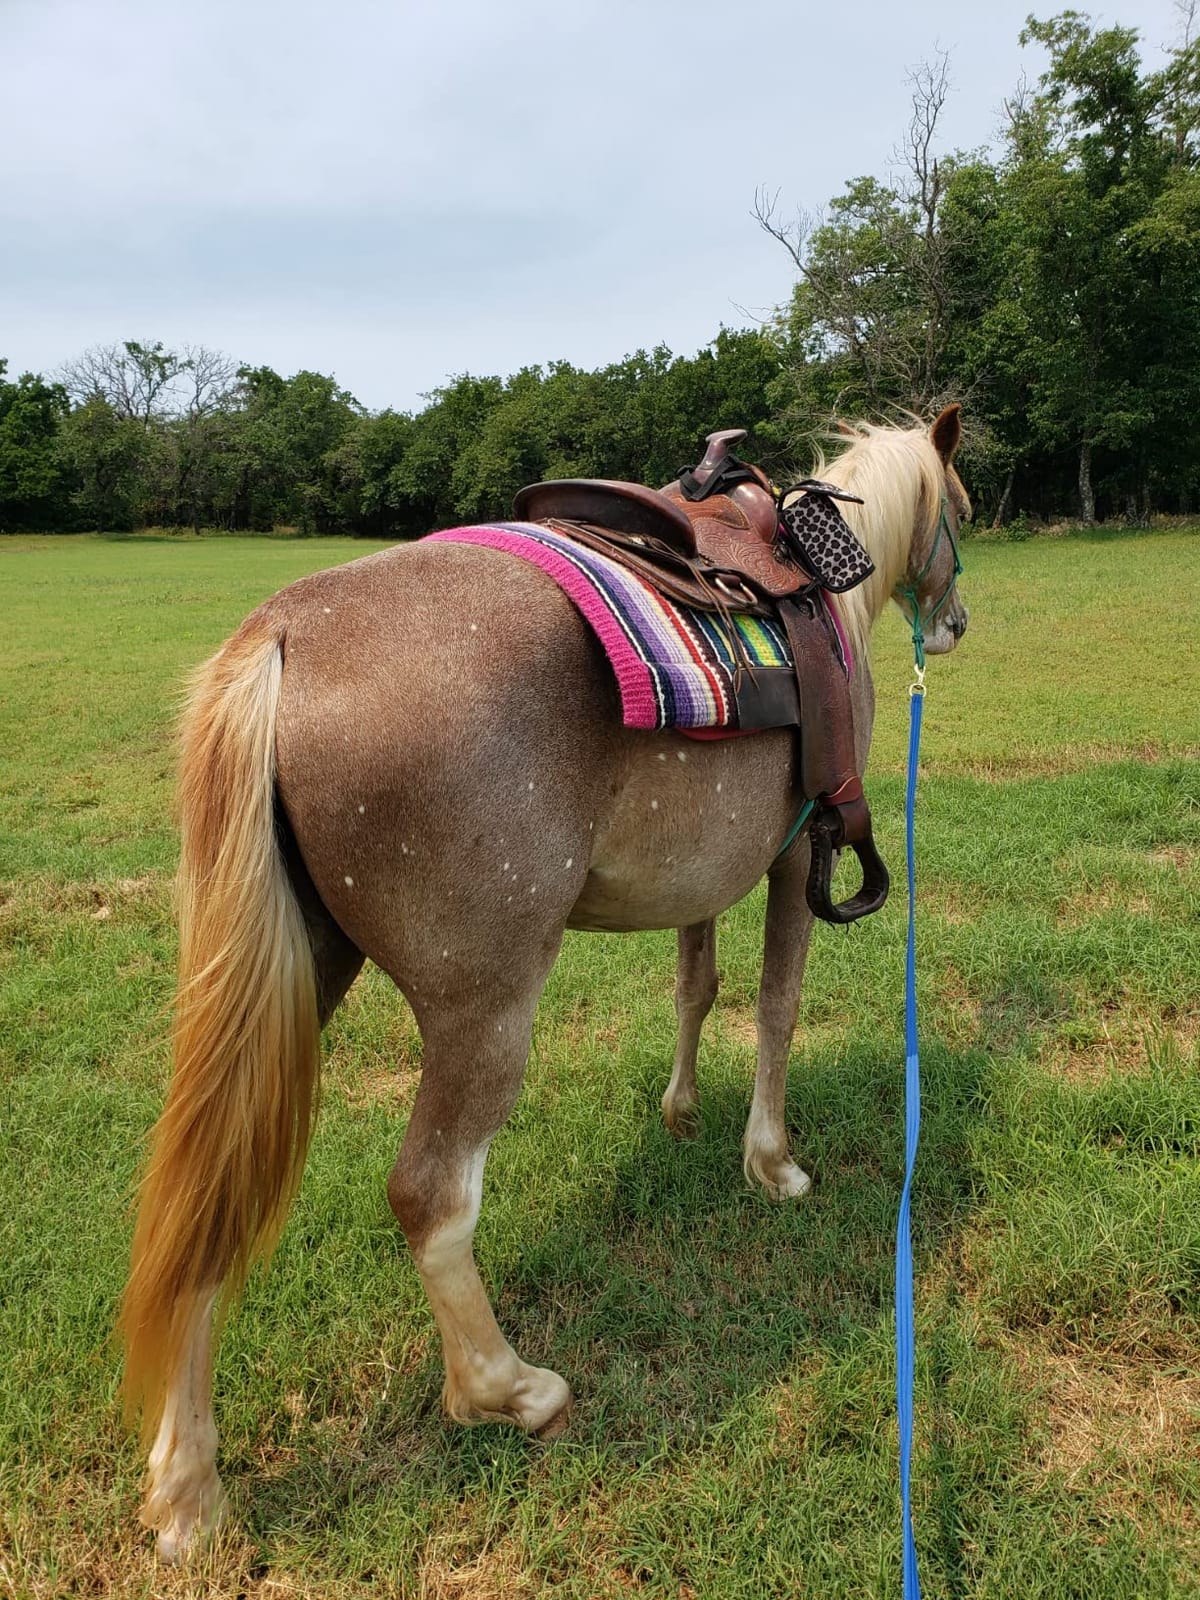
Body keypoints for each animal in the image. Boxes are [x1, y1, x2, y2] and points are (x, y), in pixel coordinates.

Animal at [117, 406, 970, 1560]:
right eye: (962, 509)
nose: (957, 618)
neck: (821, 580)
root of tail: (281, 635)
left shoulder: (701, 873)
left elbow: (696, 988)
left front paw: (682, 1111)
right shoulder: (803, 848)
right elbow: (777, 1007)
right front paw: (772, 1162)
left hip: (292, 979)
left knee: (213, 1203)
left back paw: (187, 1487)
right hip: (483, 1008)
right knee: (431, 1194)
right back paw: (506, 1389)